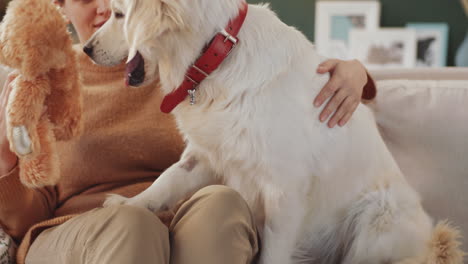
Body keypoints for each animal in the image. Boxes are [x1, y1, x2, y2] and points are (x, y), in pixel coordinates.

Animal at [82, 0, 452, 264]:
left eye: (119, 14)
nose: (86, 48)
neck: (217, 55)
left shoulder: (285, 189)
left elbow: (273, 252)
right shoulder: (206, 156)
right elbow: (166, 181)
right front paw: (128, 203)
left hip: (376, 218)